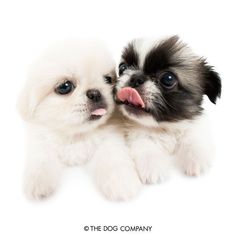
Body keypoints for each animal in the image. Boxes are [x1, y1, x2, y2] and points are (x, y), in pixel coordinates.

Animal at [18, 39, 141, 201]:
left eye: (108, 79)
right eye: (65, 86)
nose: (95, 93)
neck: (76, 135)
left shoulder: (110, 139)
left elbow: (113, 159)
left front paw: (121, 182)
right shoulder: (41, 140)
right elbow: (41, 160)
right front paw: (38, 182)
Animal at [114, 36, 221, 183]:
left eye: (168, 79)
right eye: (122, 68)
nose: (136, 78)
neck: (164, 127)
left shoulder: (193, 124)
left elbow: (193, 137)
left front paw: (196, 157)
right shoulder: (137, 134)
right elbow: (145, 144)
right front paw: (152, 165)